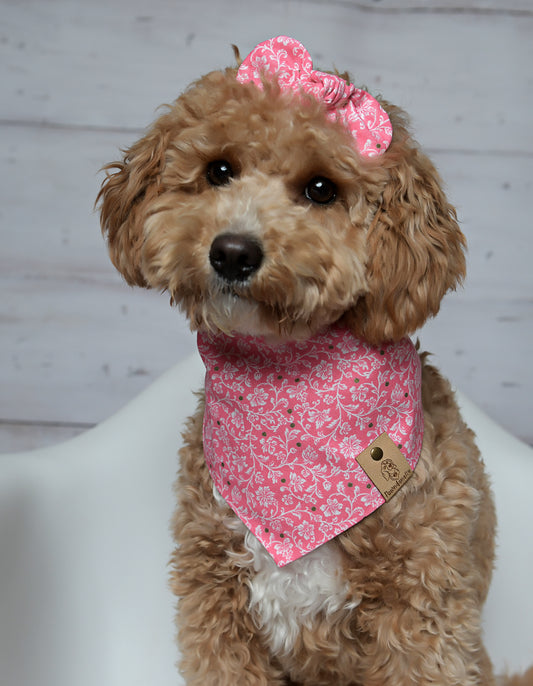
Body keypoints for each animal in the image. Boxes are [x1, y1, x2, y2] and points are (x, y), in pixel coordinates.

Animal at [96, 36, 532, 686]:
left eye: (321, 189)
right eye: (218, 170)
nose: (233, 252)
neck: (290, 383)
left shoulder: (422, 613)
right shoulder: (215, 601)